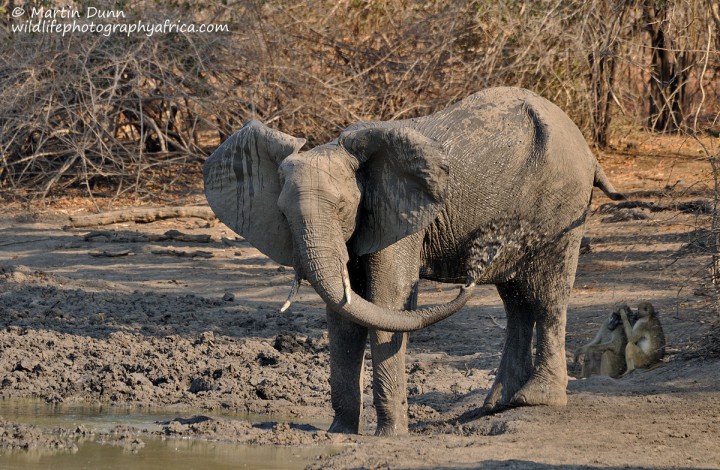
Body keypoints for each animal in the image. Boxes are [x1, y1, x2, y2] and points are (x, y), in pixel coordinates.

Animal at [204, 86, 624, 436]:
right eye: (283, 214)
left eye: (341, 207)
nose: (475, 260)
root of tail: (588, 150)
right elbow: (345, 314)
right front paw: (339, 434)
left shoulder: (400, 215)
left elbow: (386, 301)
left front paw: (389, 436)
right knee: (516, 302)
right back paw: (496, 405)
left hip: (563, 202)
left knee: (547, 295)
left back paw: (535, 399)